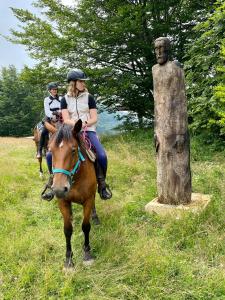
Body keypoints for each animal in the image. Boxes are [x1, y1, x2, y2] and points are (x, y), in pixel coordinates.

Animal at [48, 119, 99, 268]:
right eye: (50, 150)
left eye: (73, 150)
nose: (59, 189)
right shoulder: (62, 201)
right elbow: (67, 229)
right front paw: (68, 259)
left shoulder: (88, 200)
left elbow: (86, 226)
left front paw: (87, 254)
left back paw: (95, 216)